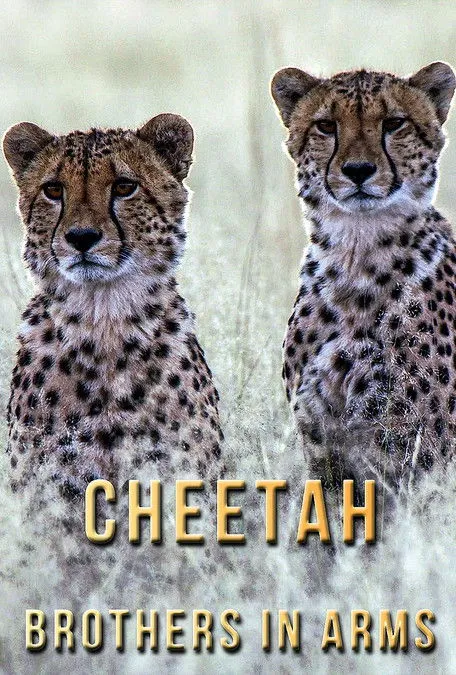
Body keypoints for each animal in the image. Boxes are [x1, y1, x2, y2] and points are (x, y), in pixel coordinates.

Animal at [271, 61, 456, 494]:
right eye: (325, 126)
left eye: (394, 123)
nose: (358, 170)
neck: (357, 253)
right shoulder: (322, 442)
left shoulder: (420, 450)